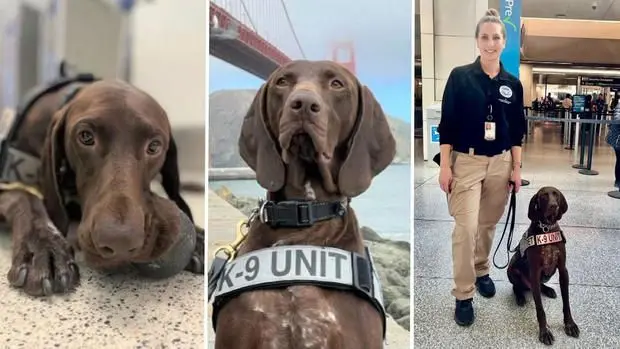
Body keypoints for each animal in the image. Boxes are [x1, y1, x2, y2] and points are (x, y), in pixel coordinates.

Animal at [0, 71, 205, 296]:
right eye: (85, 136)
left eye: (154, 146)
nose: (120, 242)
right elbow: (26, 199)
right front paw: (44, 248)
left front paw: (199, 237)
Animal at [506, 186, 580, 344]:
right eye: (543, 196)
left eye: (556, 195)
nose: (554, 206)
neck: (547, 228)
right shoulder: (534, 272)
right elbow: (540, 309)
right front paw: (544, 332)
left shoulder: (563, 271)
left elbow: (566, 303)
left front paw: (570, 324)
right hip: (511, 270)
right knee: (517, 287)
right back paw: (520, 297)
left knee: (539, 286)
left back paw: (548, 290)